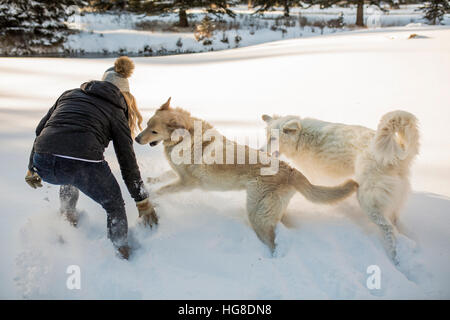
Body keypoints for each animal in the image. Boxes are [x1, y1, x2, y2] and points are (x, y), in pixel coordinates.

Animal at [134, 98, 358, 252]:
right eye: (146, 125)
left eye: (154, 131)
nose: (135, 139)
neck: (186, 138)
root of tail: (291, 170)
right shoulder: (179, 174)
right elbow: (164, 176)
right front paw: (151, 181)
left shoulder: (188, 183)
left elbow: (164, 189)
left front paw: (152, 198)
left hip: (257, 214)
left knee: (271, 240)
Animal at [262, 110, 420, 262]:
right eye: (267, 136)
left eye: (273, 138)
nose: (261, 151)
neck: (302, 138)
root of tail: (397, 154)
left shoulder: (315, 175)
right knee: (394, 223)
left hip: (368, 202)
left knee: (388, 229)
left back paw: (395, 258)